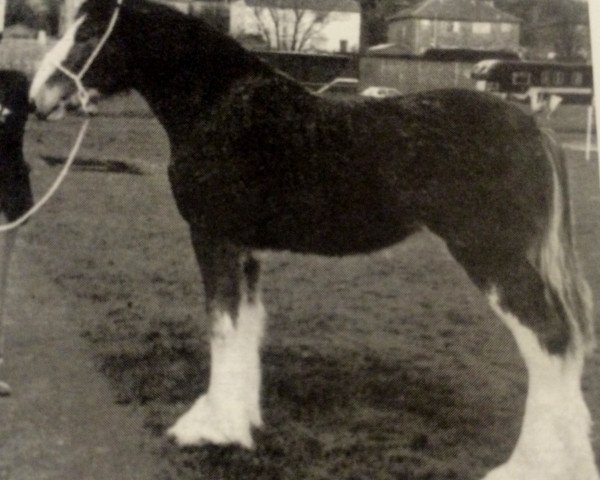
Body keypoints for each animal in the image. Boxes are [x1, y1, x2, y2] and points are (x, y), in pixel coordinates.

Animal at [28, 1, 600, 478]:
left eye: (89, 34)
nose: (38, 99)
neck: (218, 105)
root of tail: (531, 125)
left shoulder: (213, 239)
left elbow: (221, 328)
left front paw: (211, 428)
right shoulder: (245, 250)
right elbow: (245, 328)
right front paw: (242, 420)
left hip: (492, 256)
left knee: (550, 342)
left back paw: (531, 465)